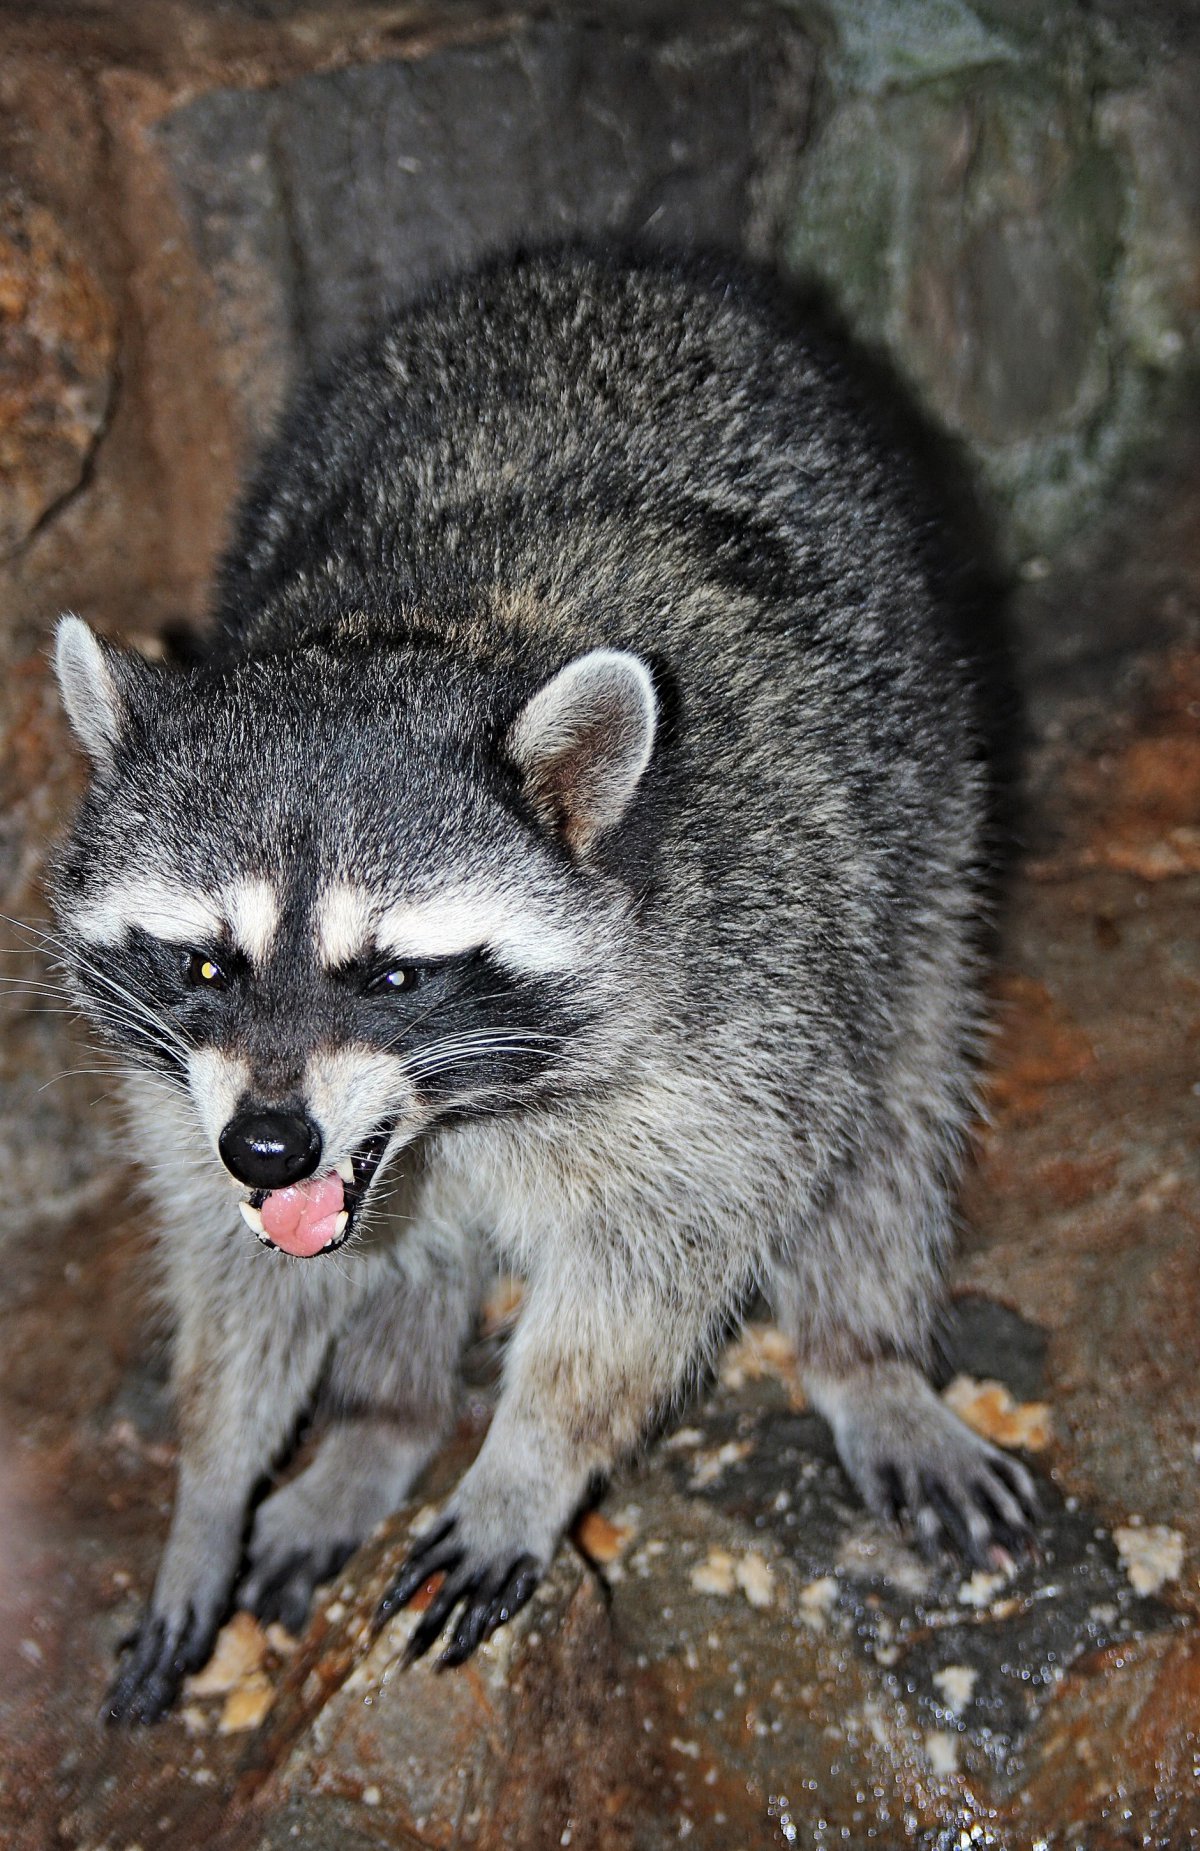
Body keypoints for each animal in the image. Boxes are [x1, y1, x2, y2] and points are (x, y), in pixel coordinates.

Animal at [49, 242, 1029, 1717]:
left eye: (394, 974)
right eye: (208, 962)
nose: (271, 1145)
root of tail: (616, 257)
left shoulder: (747, 989)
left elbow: (661, 1259)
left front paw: (528, 1458)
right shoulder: (189, 1091)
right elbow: (243, 1271)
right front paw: (211, 1485)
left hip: (919, 804)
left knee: (894, 1101)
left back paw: (863, 1352)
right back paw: (382, 1425)